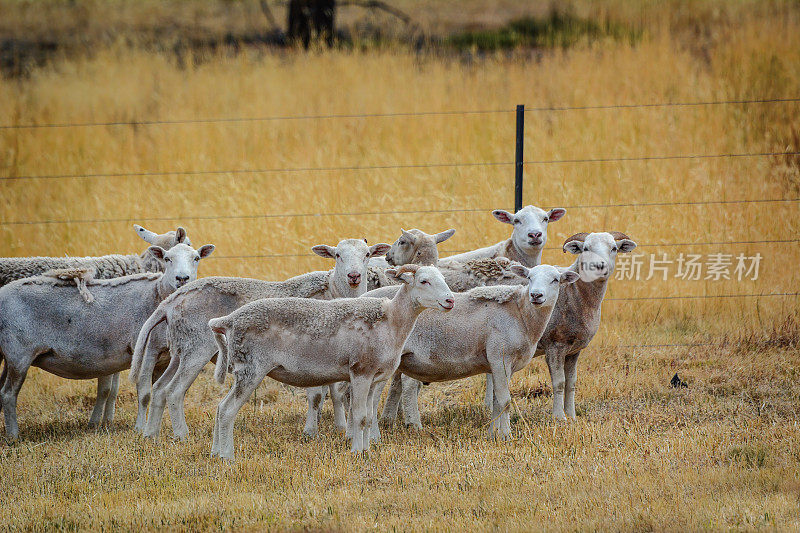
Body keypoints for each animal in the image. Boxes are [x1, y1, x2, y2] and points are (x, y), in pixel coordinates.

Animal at [0, 240, 214, 436]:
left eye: (196, 258)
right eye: (167, 259)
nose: (182, 278)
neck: (158, 296)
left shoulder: (164, 358)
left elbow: (159, 391)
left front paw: (156, 428)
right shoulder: (145, 351)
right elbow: (145, 394)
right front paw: (140, 429)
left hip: (7, 356)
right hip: (18, 355)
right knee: (8, 394)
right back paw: (13, 436)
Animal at [128, 239, 390, 438]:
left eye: (367, 254)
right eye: (337, 255)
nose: (354, 276)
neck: (335, 291)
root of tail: (171, 300)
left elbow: (334, 392)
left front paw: (341, 427)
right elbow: (316, 396)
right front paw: (311, 432)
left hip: (180, 349)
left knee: (160, 389)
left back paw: (151, 435)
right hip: (197, 348)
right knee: (174, 391)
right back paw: (182, 435)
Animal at [209, 262, 454, 458]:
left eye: (442, 280)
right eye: (424, 281)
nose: (450, 300)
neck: (391, 321)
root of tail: (228, 320)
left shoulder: (374, 377)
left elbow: (368, 416)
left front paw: (366, 449)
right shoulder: (361, 371)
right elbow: (359, 416)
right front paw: (357, 452)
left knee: (220, 408)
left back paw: (214, 453)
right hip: (250, 368)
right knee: (227, 410)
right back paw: (227, 456)